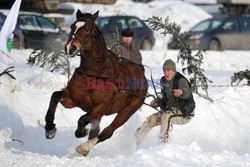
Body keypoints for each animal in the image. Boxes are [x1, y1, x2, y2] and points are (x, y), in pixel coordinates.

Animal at [44, 10, 147, 155]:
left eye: (88, 29)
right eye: (72, 26)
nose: (70, 47)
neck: (95, 71)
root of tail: (141, 73)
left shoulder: (102, 106)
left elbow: (82, 119)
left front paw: (81, 131)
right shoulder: (73, 99)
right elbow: (55, 96)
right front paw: (50, 129)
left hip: (127, 110)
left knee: (106, 132)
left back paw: (84, 147)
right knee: (96, 131)